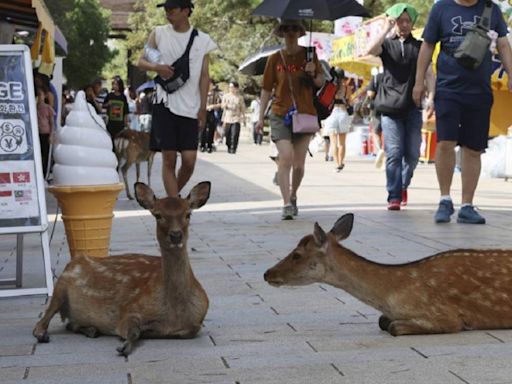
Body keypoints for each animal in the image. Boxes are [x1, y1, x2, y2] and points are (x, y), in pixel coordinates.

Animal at [33, 182, 210, 356]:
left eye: (188, 214)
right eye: (158, 215)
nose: (176, 235)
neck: (175, 313)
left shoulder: (197, 321)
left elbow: (190, 330)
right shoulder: (129, 309)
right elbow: (133, 331)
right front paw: (125, 346)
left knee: (70, 324)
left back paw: (91, 329)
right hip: (60, 286)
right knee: (39, 325)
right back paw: (46, 334)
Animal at [264, 213, 512, 336]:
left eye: (296, 255)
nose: (267, 273)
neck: (392, 295)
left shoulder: (445, 316)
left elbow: (393, 327)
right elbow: (383, 321)